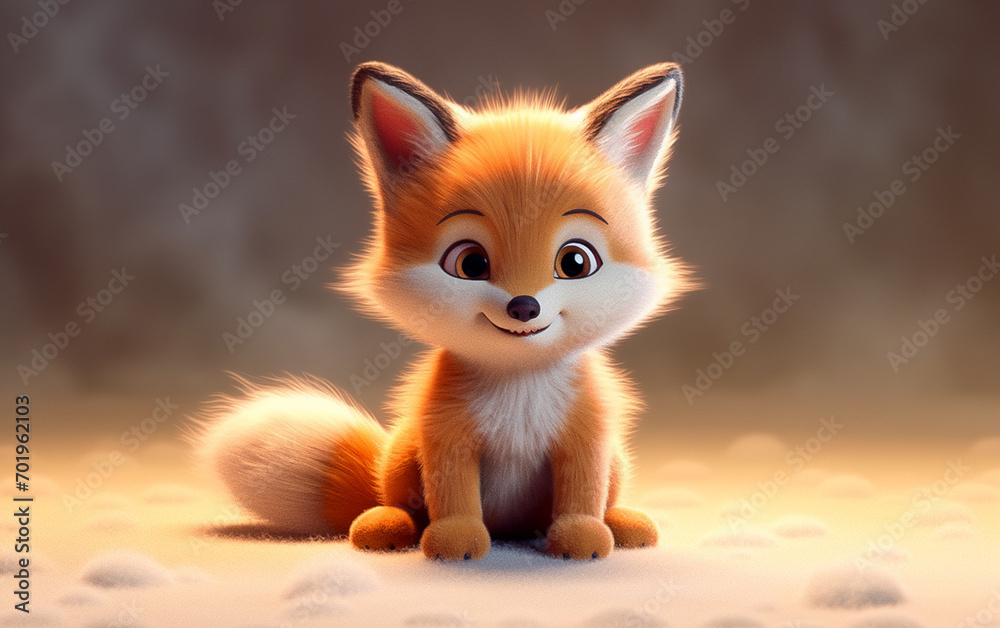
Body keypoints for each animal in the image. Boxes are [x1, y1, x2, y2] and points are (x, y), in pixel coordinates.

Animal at [198, 61, 690, 561]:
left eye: (575, 262)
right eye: (470, 264)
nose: (524, 306)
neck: (518, 386)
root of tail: (511, 527)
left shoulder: (587, 438)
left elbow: (583, 492)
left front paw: (582, 535)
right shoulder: (445, 435)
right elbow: (454, 496)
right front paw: (456, 539)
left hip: (617, 459)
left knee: (603, 494)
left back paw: (619, 522)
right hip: (403, 451)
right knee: (395, 498)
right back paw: (389, 524)